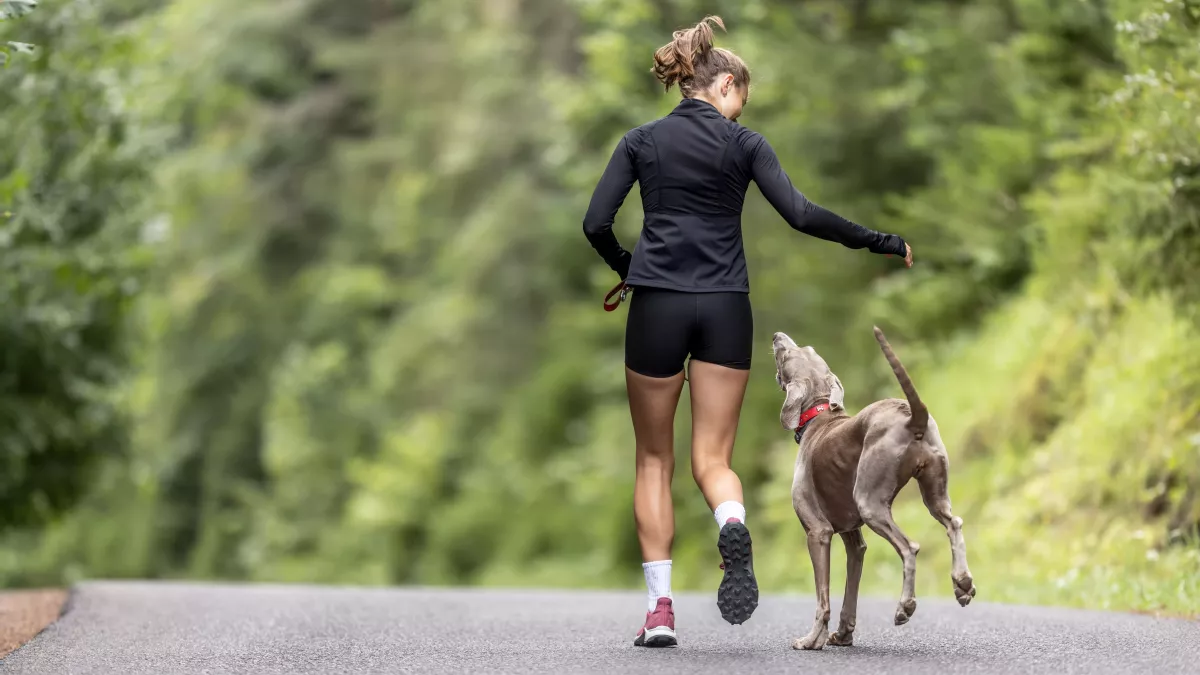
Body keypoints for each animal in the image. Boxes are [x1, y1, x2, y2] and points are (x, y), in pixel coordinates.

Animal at [768, 324, 974, 648]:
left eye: (786, 355)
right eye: (808, 349)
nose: (777, 336)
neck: (819, 412)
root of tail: (911, 415)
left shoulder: (818, 532)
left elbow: (823, 598)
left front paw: (812, 640)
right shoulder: (854, 540)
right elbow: (849, 592)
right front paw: (843, 634)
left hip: (869, 502)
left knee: (910, 548)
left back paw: (905, 607)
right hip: (934, 492)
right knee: (954, 523)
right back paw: (963, 584)